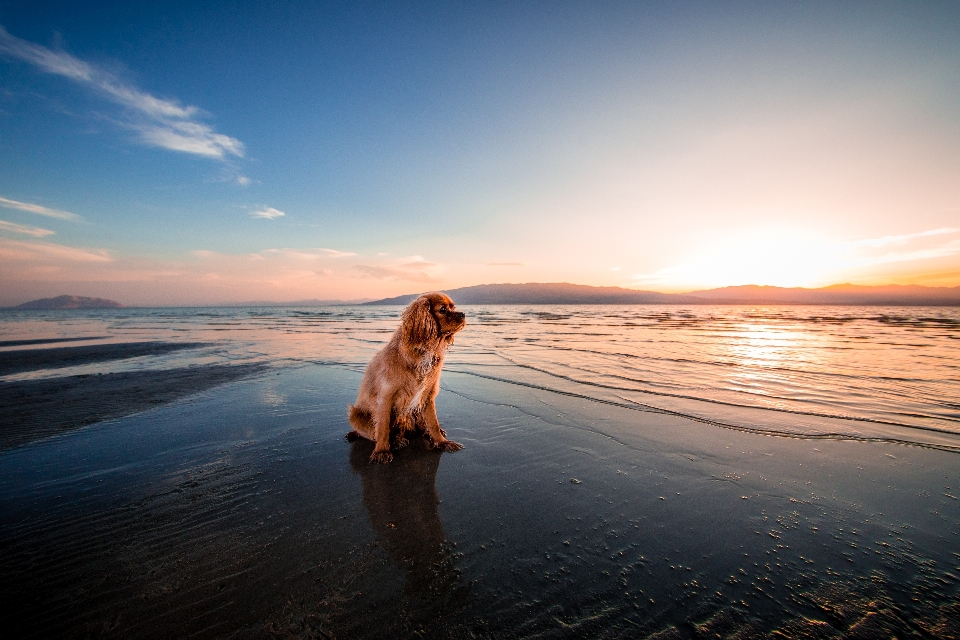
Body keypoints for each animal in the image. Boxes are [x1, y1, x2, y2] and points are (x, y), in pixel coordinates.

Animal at [346, 292, 466, 462]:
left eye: (453, 307)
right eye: (443, 309)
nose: (463, 314)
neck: (424, 351)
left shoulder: (427, 395)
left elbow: (433, 423)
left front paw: (442, 442)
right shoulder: (385, 397)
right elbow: (383, 428)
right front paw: (382, 451)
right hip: (355, 415)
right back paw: (396, 441)